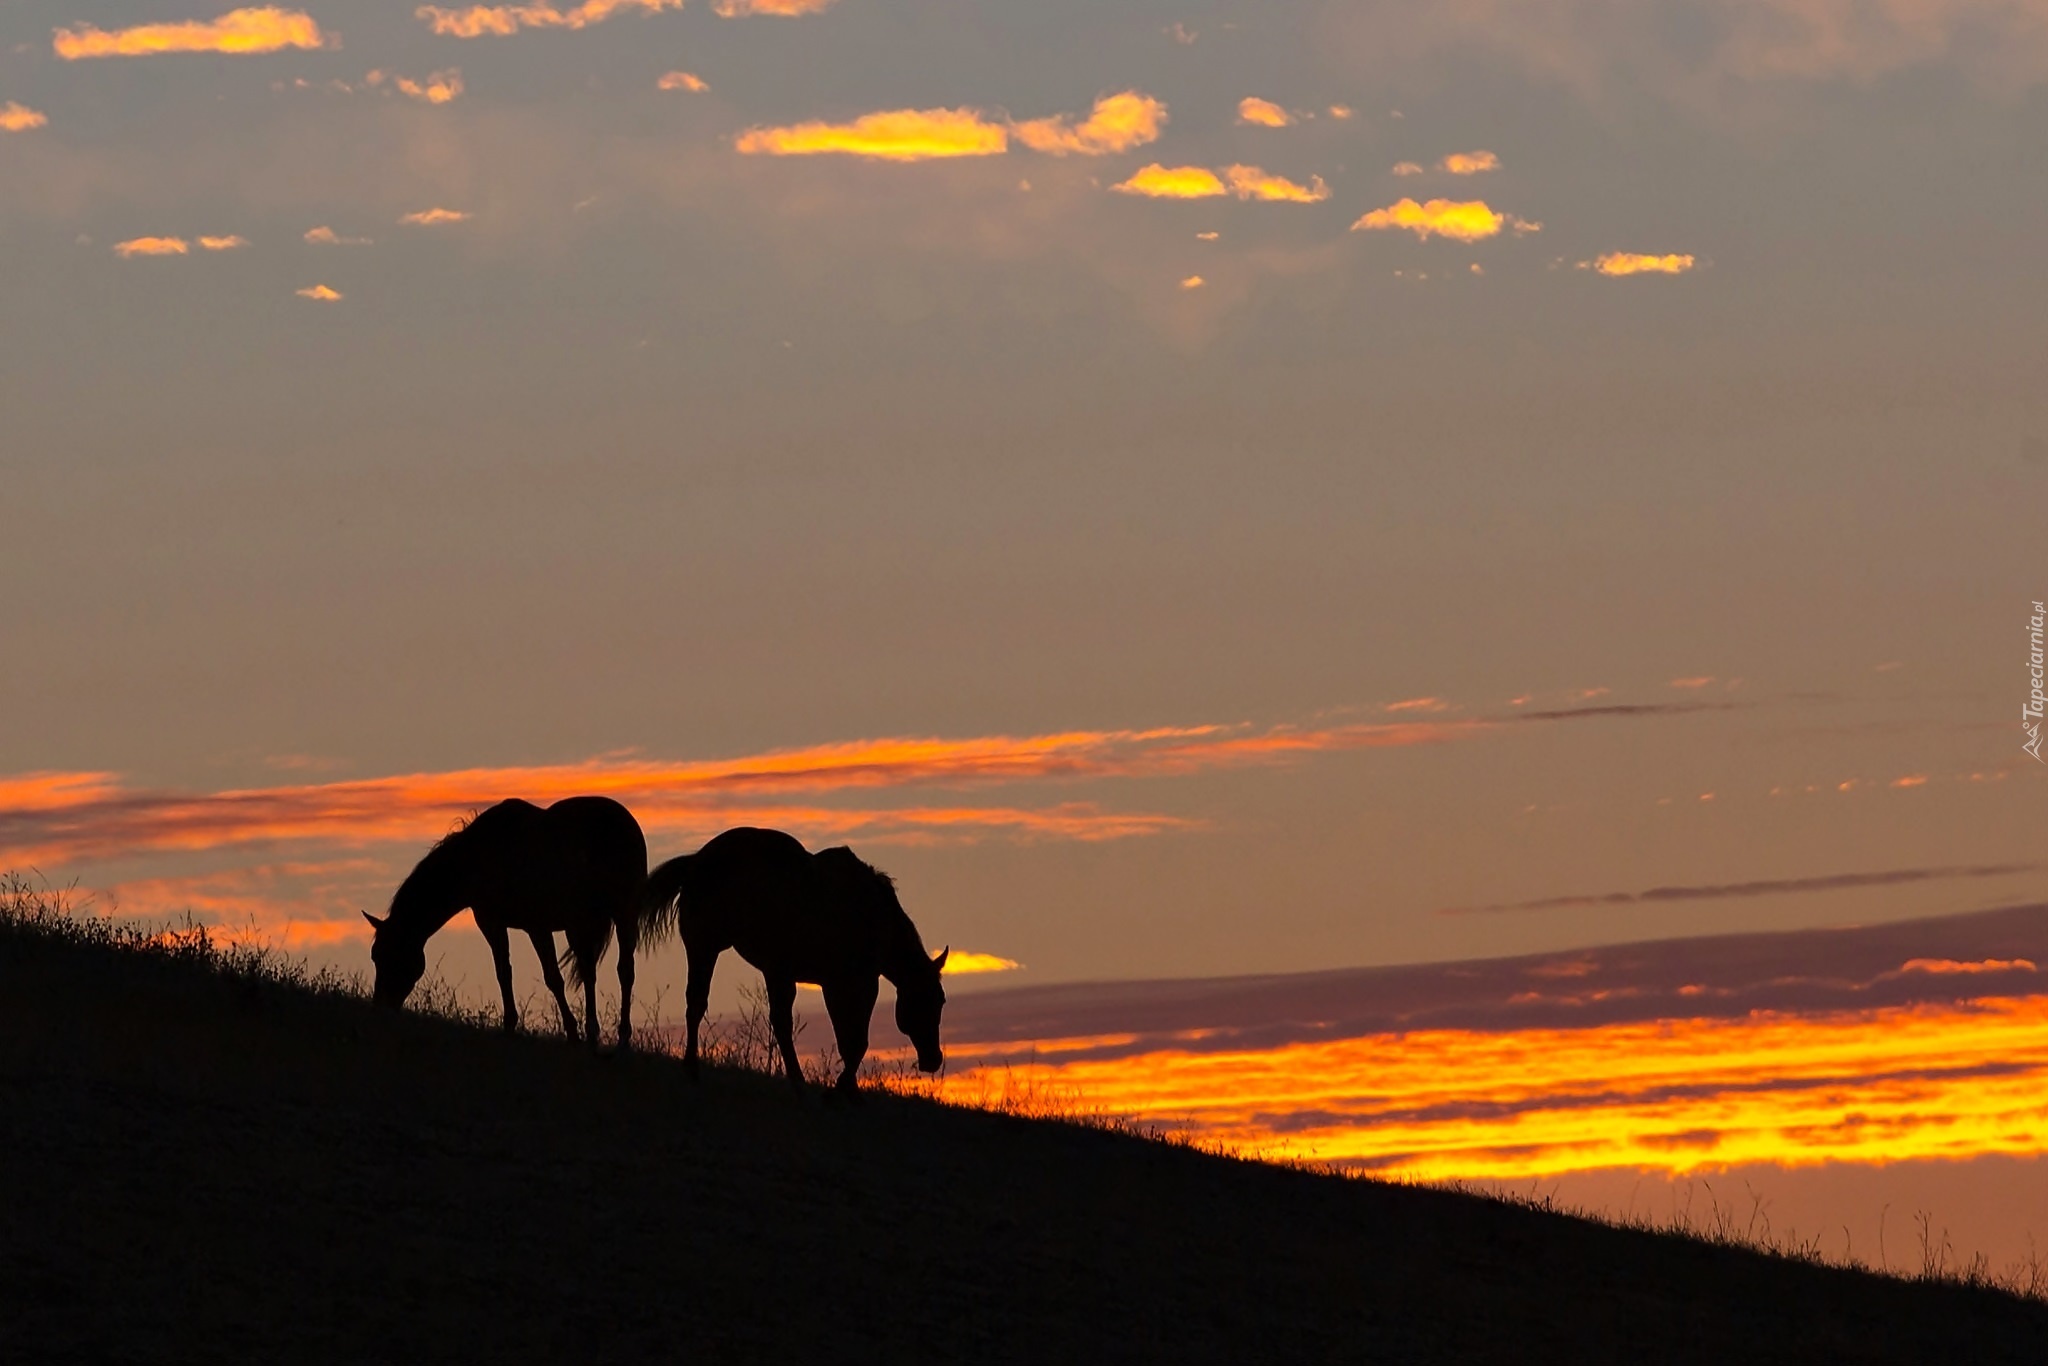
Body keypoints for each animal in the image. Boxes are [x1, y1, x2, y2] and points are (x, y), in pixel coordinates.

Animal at [368, 790, 647, 1048]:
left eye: (390, 955)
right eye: (375, 956)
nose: (380, 1006)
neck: (479, 858)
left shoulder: (527, 926)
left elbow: (551, 978)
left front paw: (570, 1031)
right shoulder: (497, 924)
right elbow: (504, 972)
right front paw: (512, 1025)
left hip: (621, 913)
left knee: (624, 971)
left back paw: (621, 1037)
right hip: (582, 923)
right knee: (591, 971)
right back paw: (593, 1034)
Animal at [643, 827, 946, 1097]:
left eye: (941, 1000)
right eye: (932, 1000)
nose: (934, 1060)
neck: (869, 915)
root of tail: (696, 861)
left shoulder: (838, 984)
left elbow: (848, 1038)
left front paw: (849, 1090)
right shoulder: (849, 984)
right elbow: (855, 1041)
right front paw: (840, 1090)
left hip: (769, 970)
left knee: (770, 1021)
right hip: (705, 947)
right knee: (699, 1004)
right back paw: (696, 1070)